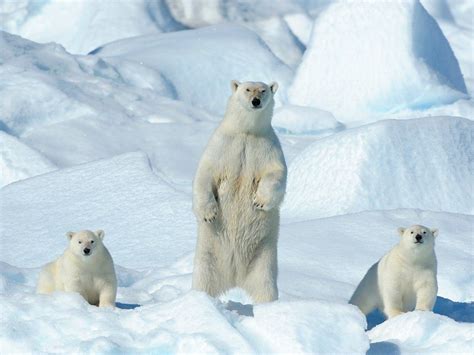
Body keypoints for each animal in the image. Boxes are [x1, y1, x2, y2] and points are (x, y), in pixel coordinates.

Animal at [191, 80, 286, 304]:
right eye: (247, 89)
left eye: (263, 90)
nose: (256, 101)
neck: (247, 132)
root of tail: (235, 278)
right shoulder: (222, 146)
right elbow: (205, 174)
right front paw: (209, 213)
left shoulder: (267, 148)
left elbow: (276, 174)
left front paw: (259, 200)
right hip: (209, 254)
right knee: (202, 280)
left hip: (263, 256)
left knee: (265, 287)